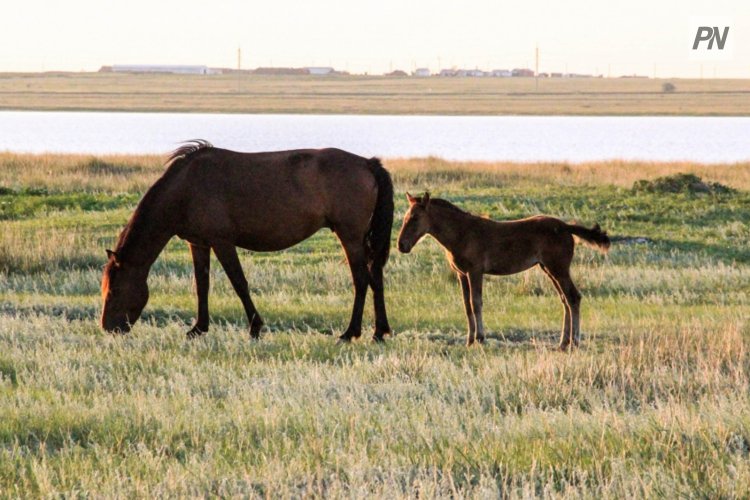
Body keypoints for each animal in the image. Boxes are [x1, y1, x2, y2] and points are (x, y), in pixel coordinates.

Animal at [103, 142, 396, 344]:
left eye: (114, 290)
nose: (107, 328)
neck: (185, 188)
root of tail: (367, 163)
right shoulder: (199, 244)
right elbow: (201, 285)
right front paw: (198, 328)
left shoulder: (222, 242)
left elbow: (239, 283)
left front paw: (255, 328)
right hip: (363, 239)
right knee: (376, 277)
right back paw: (379, 332)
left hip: (350, 237)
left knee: (362, 279)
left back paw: (350, 333)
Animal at [396, 193, 608, 350]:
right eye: (405, 217)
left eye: (415, 218)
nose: (401, 245)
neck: (461, 232)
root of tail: (565, 227)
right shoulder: (461, 274)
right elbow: (466, 305)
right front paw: (469, 340)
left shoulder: (475, 271)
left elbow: (476, 303)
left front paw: (480, 339)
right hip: (549, 269)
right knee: (565, 300)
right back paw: (563, 343)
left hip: (559, 269)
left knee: (573, 297)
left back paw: (574, 342)